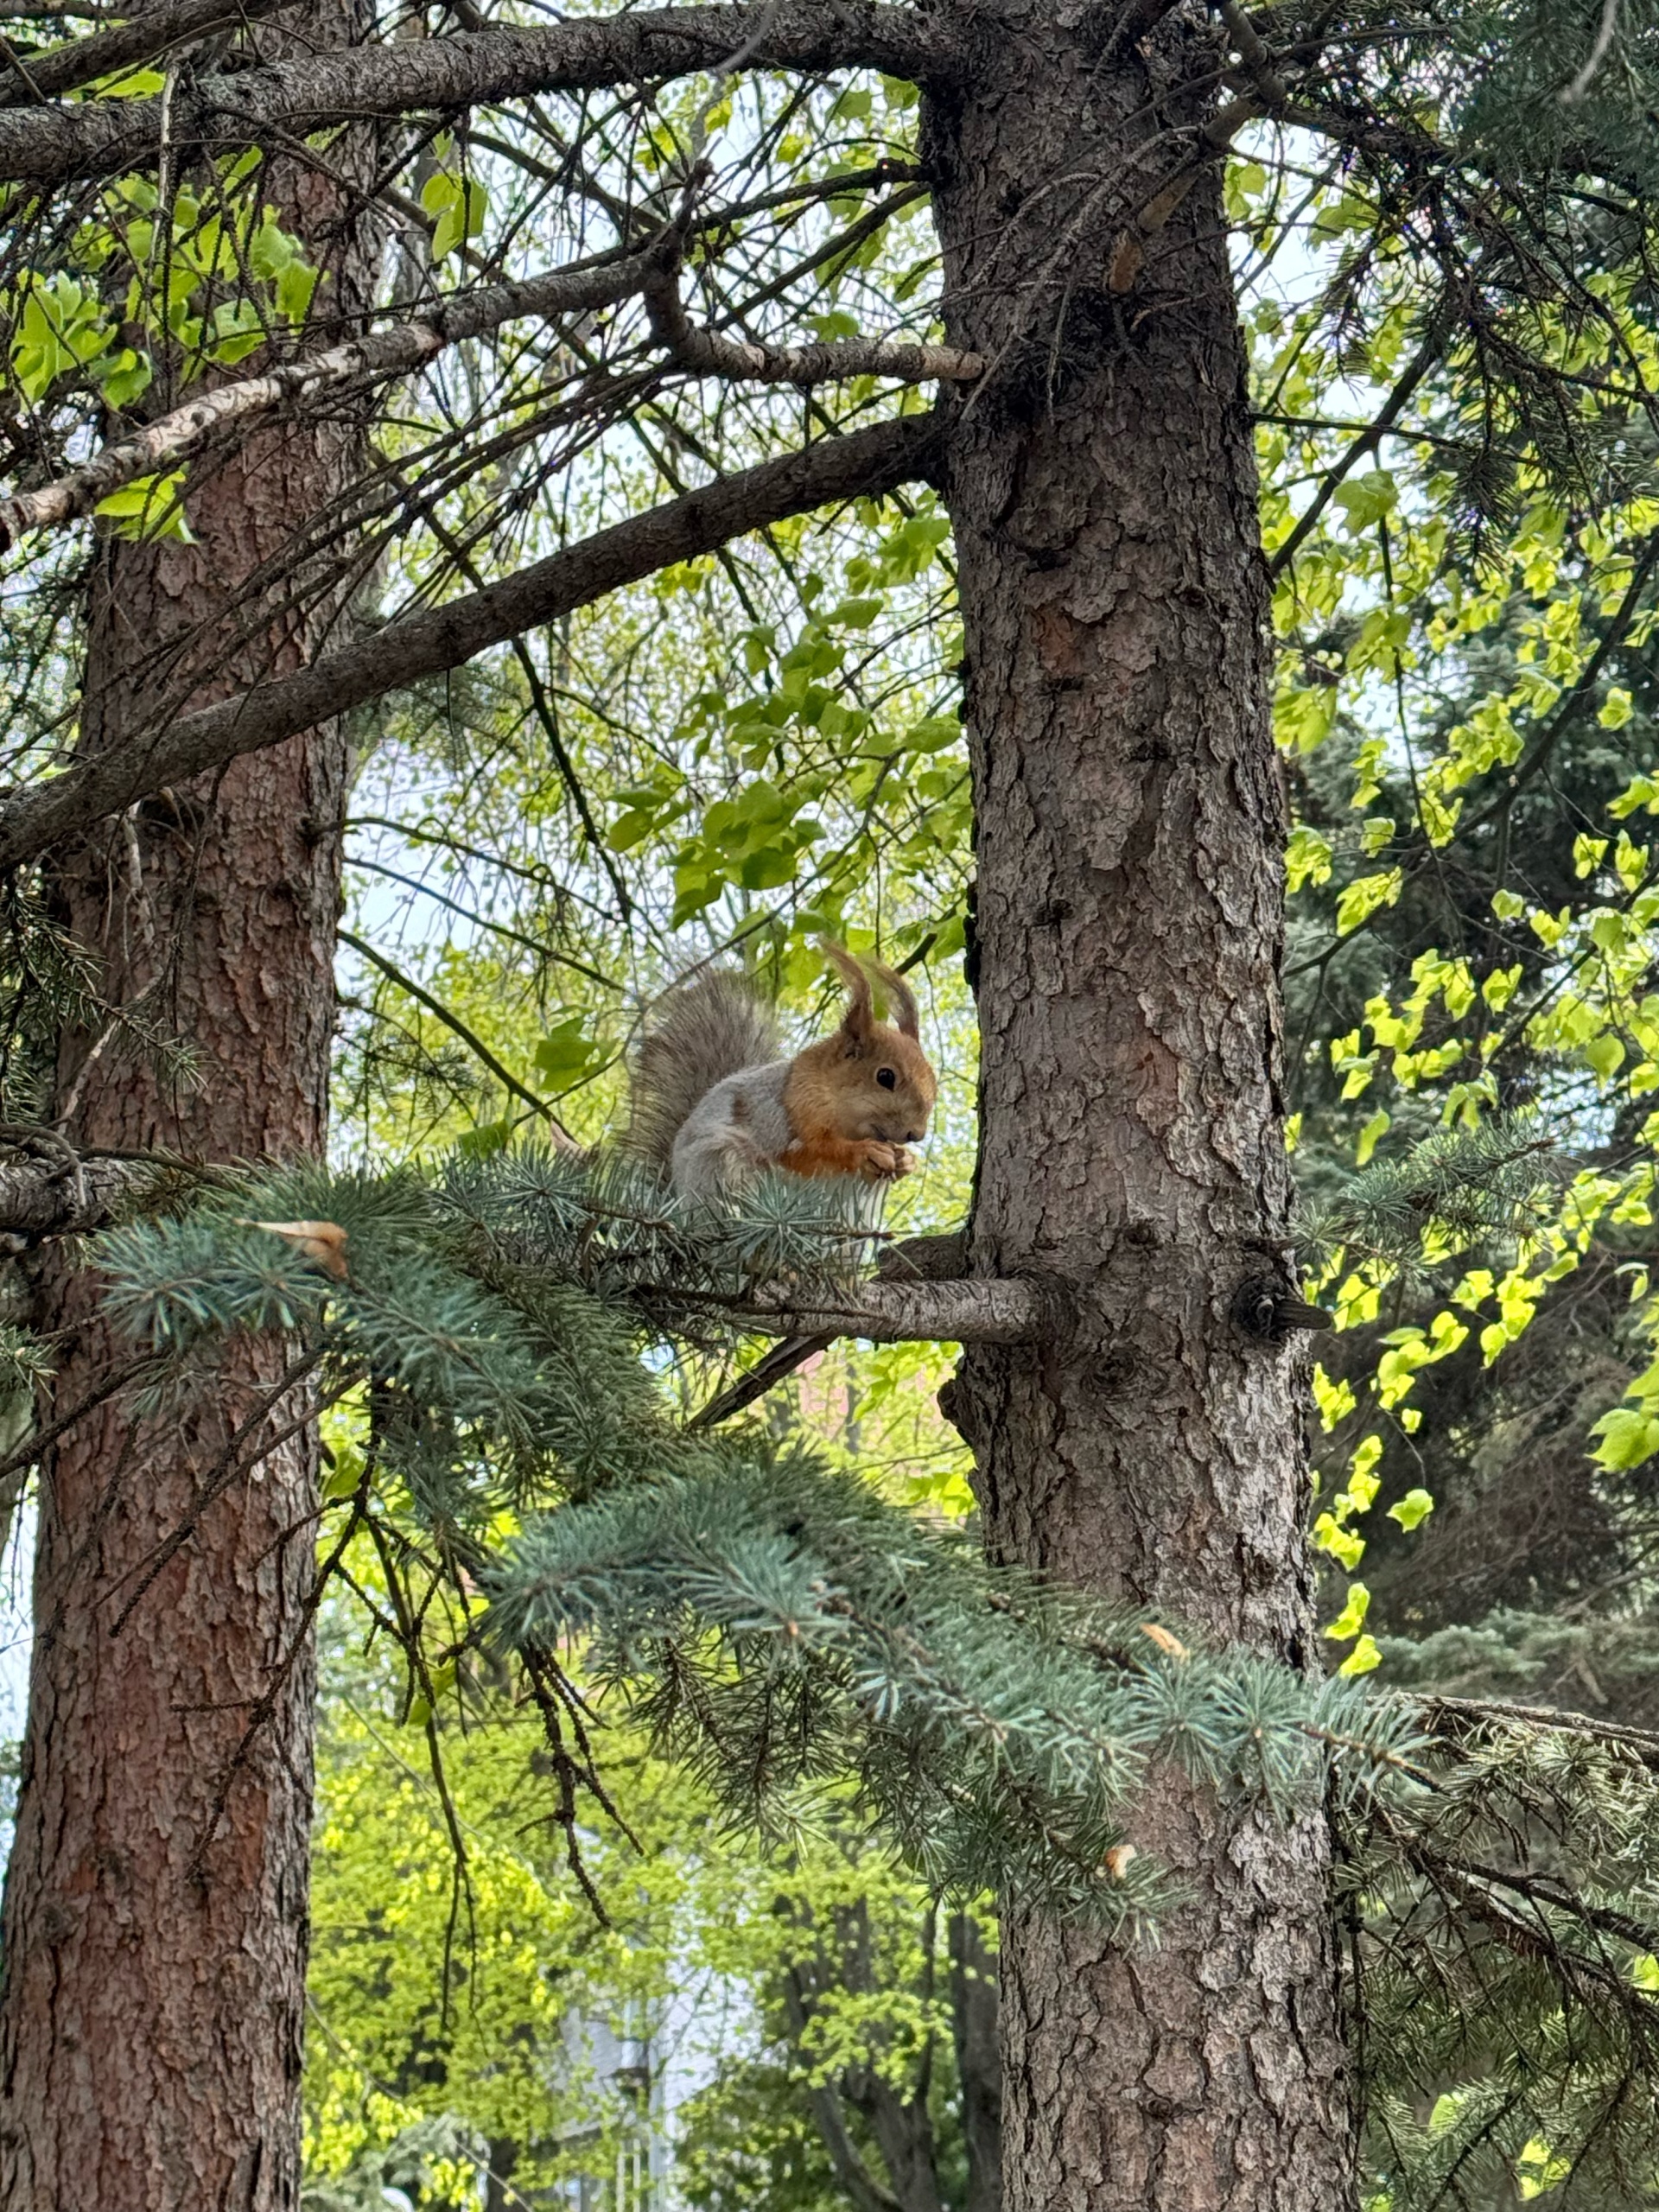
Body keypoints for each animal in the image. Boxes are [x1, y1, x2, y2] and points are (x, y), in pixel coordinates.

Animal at [623, 942, 938, 1203]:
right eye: (885, 1077)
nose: (917, 1134)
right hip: (719, 1162)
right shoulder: (786, 1114)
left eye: (934, 1082)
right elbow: (807, 1155)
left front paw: (907, 1161)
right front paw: (864, 1151)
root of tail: (678, 1197)